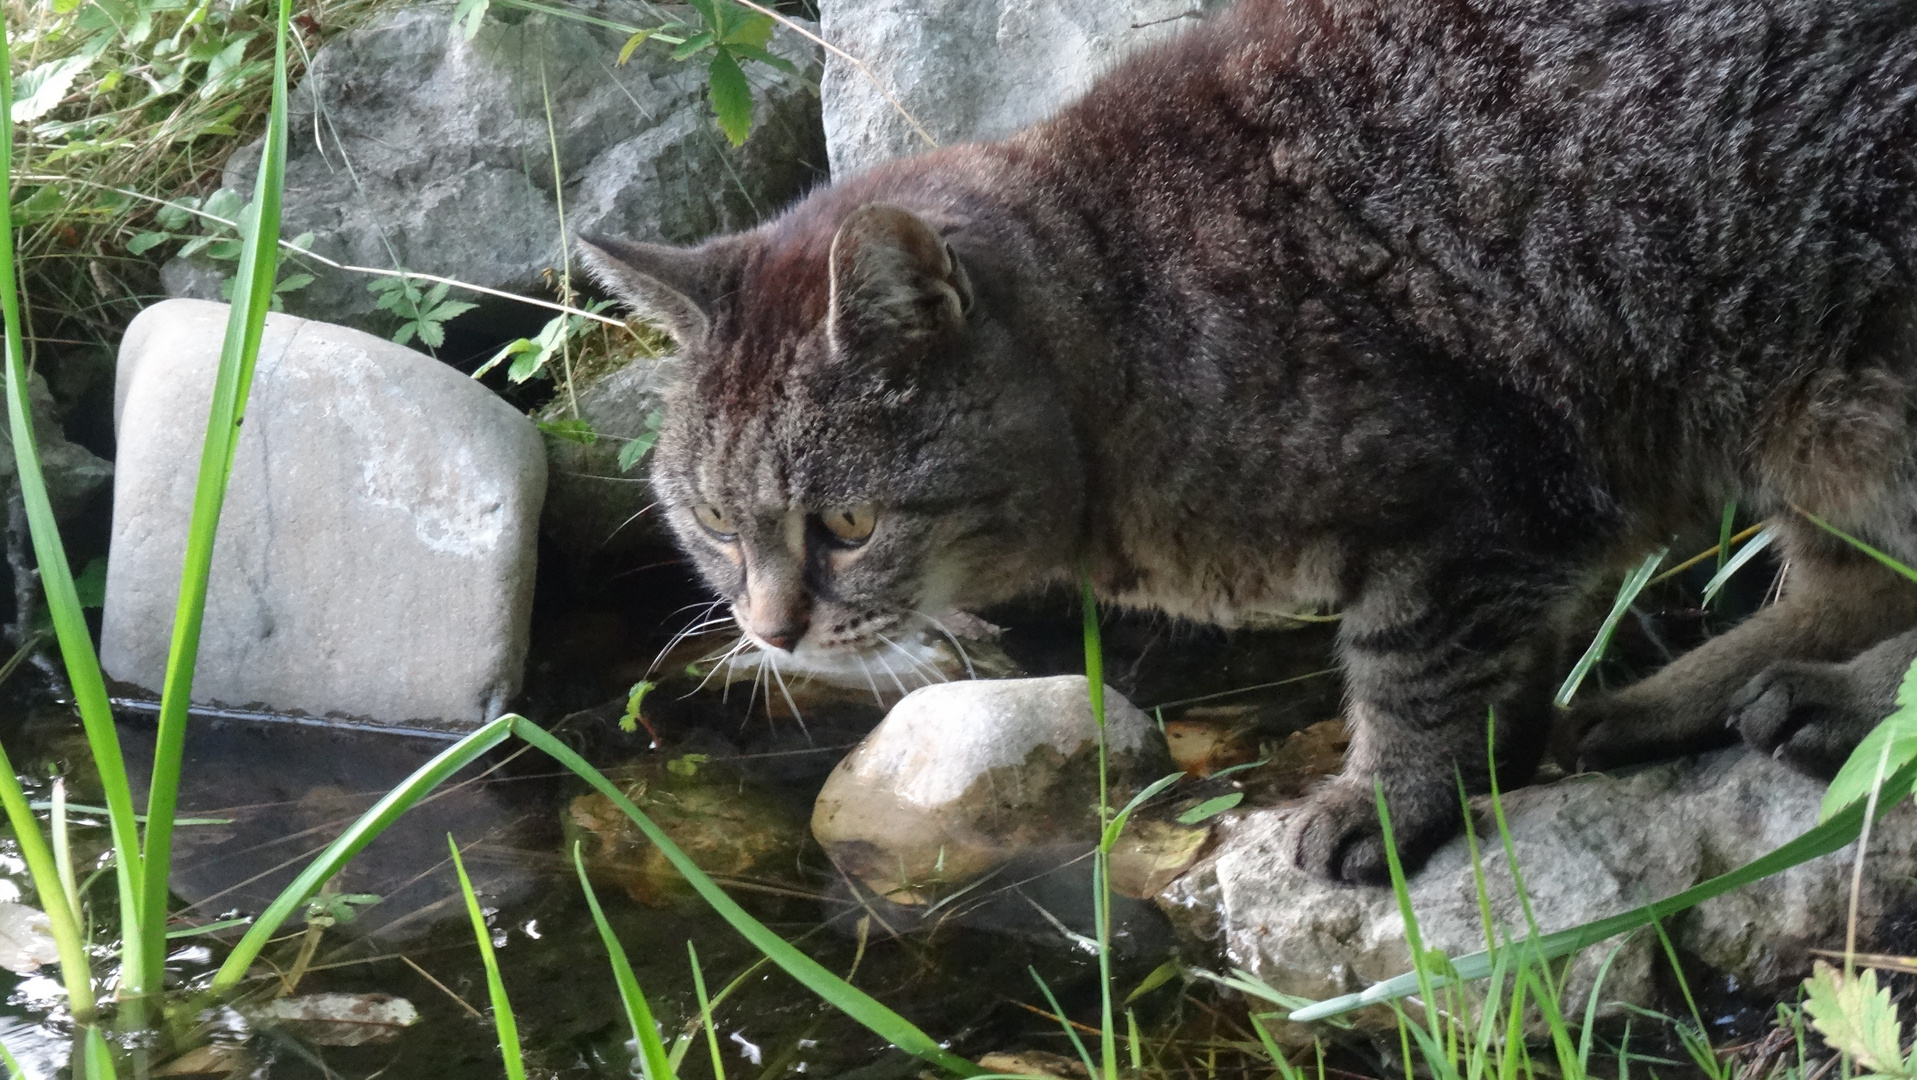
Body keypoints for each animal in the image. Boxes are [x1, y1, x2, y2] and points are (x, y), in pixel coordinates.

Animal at [575, 0, 1917, 886]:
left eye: (847, 525)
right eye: (712, 524)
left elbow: (1411, 669)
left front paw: (1387, 801)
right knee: (1843, 584)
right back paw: (1678, 698)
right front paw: (1502, 745)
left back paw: (1819, 701)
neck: (1127, 321)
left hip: (1854, 378)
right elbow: (1492, 671)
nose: (769, 630)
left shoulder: (1482, 508)